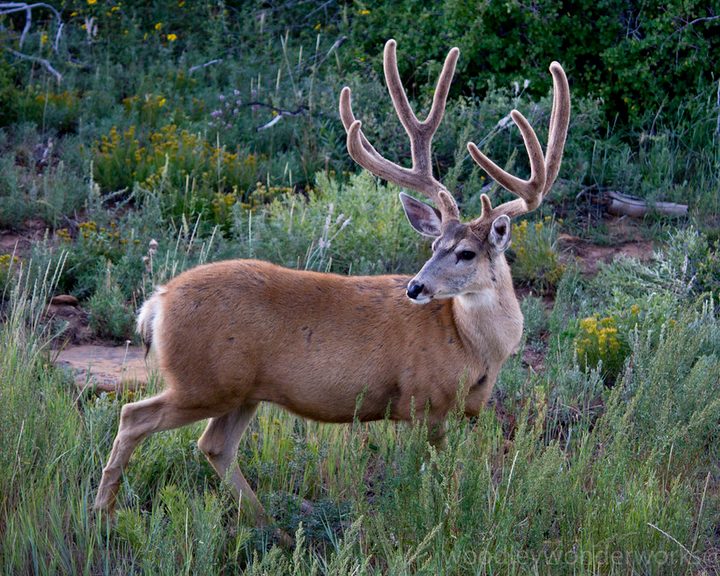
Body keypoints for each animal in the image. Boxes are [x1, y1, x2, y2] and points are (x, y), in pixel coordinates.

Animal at [93, 39, 570, 536]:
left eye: (465, 253)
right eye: (436, 244)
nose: (415, 287)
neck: (474, 347)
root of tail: (157, 302)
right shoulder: (424, 403)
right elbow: (443, 476)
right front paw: (448, 521)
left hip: (242, 391)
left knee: (214, 445)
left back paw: (274, 529)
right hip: (202, 381)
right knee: (134, 417)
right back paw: (103, 513)